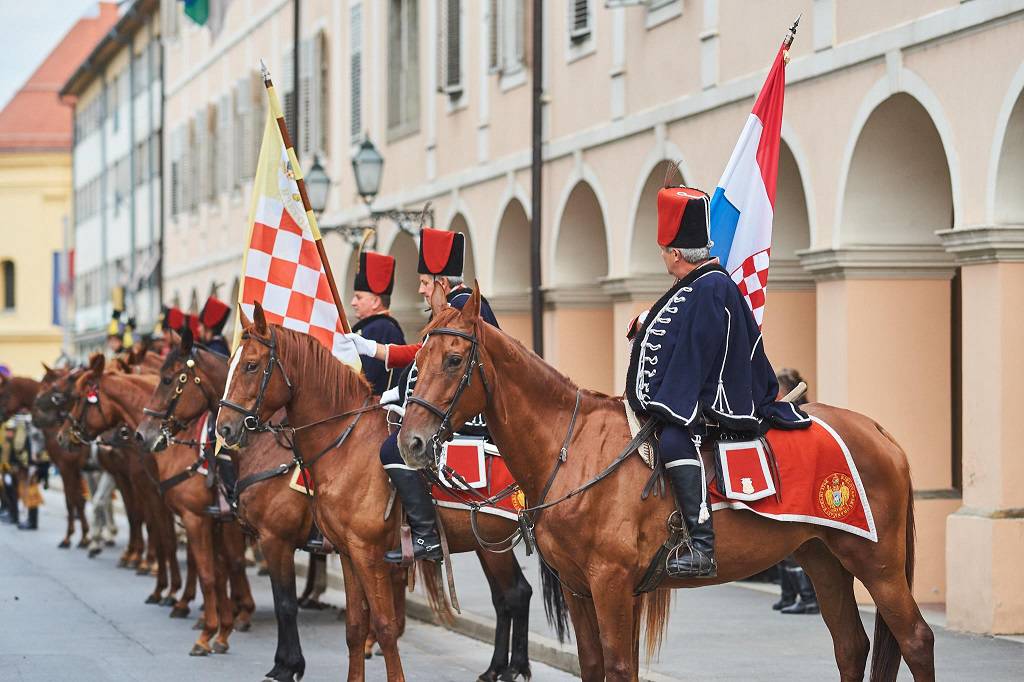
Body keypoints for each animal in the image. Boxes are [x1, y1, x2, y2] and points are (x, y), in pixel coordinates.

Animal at [220, 303, 540, 679]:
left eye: (251, 365)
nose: (224, 427)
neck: (344, 443)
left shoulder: (353, 551)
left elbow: (383, 626)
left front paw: (286, 666)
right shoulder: (346, 553)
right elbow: (356, 627)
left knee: (517, 594)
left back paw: (510, 668)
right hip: (488, 544)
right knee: (509, 596)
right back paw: (499, 668)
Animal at [399, 288, 937, 679]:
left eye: (453, 360)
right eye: (416, 362)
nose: (411, 443)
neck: (575, 450)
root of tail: (878, 430)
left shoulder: (612, 584)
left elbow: (619, 667)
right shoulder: (580, 589)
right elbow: (596, 666)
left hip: (876, 561)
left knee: (915, 639)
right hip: (823, 558)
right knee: (851, 645)